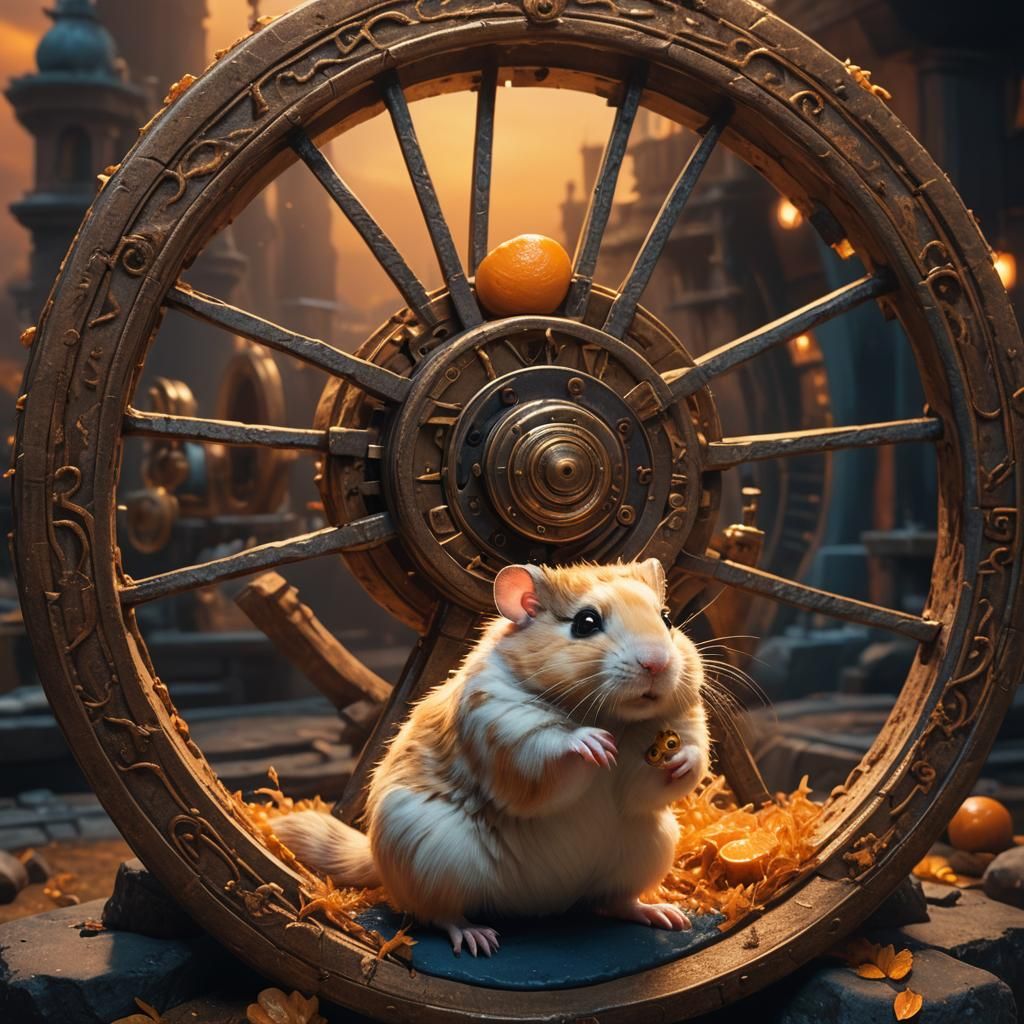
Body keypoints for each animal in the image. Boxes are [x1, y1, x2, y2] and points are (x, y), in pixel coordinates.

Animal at [273, 558, 710, 957]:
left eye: (667, 618)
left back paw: (663, 914)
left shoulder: (668, 740)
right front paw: (592, 744)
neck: (611, 716)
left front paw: (684, 761)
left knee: (611, 902)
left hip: (649, 847)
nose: (657, 663)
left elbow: (657, 778)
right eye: (585, 623)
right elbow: (550, 749)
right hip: (431, 857)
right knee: (438, 915)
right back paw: (477, 938)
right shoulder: (504, 728)